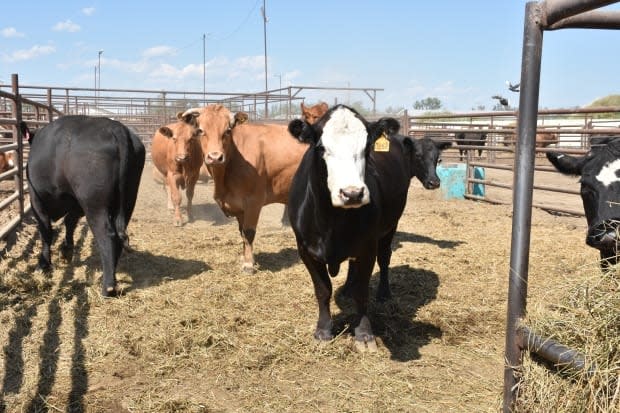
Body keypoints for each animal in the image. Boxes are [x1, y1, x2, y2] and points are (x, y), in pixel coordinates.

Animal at [23, 116, 146, 296]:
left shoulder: (37, 199)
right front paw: (66, 251)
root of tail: (117, 128)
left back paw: (108, 286)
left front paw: (43, 264)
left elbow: (46, 231)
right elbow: (69, 222)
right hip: (129, 198)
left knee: (107, 235)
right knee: (118, 236)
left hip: (94, 205)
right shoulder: (76, 204)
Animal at [179, 102, 310, 272]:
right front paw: (245, 258)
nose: (215, 157)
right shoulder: (238, 206)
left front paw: (248, 264)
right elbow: (241, 232)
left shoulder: (254, 201)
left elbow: (248, 232)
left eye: (228, 130)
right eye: (201, 130)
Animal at [286, 104, 446, 350]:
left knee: (385, 258)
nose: (352, 193)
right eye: (321, 147)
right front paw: (323, 330)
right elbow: (323, 290)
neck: (331, 222)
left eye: (367, 147)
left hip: (390, 225)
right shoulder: (305, 249)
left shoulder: (368, 247)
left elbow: (362, 292)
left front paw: (363, 333)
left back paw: (384, 293)